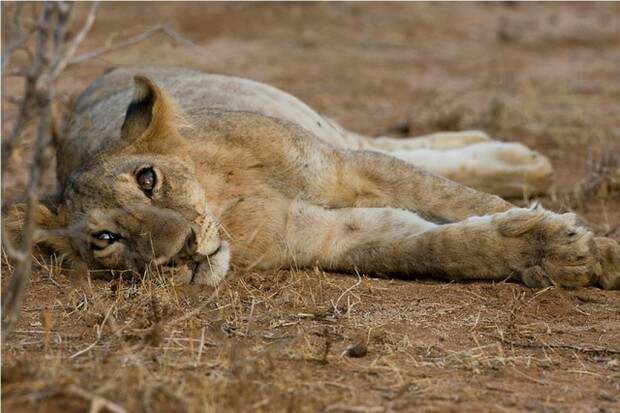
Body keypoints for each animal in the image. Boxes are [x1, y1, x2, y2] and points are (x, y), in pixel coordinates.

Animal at [6, 67, 620, 286]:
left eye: (148, 179)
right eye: (105, 240)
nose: (181, 252)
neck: (224, 201)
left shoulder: (345, 170)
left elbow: (458, 197)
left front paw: (599, 251)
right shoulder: (326, 236)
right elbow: (439, 248)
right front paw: (558, 253)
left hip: (320, 126)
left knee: (392, 144)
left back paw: (523, 160)